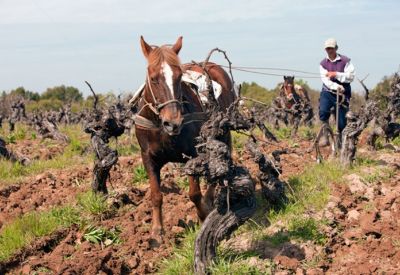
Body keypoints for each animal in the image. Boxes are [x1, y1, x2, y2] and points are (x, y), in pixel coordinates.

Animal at [134, 36, 236, 242]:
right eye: (153, 78)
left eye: (179, 77)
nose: (173, 122)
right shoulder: (147, 157)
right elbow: (156, 195)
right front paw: (157, 232)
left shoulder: (192, 154)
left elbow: (194, 193)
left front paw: (203, 215)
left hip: (223, 134)